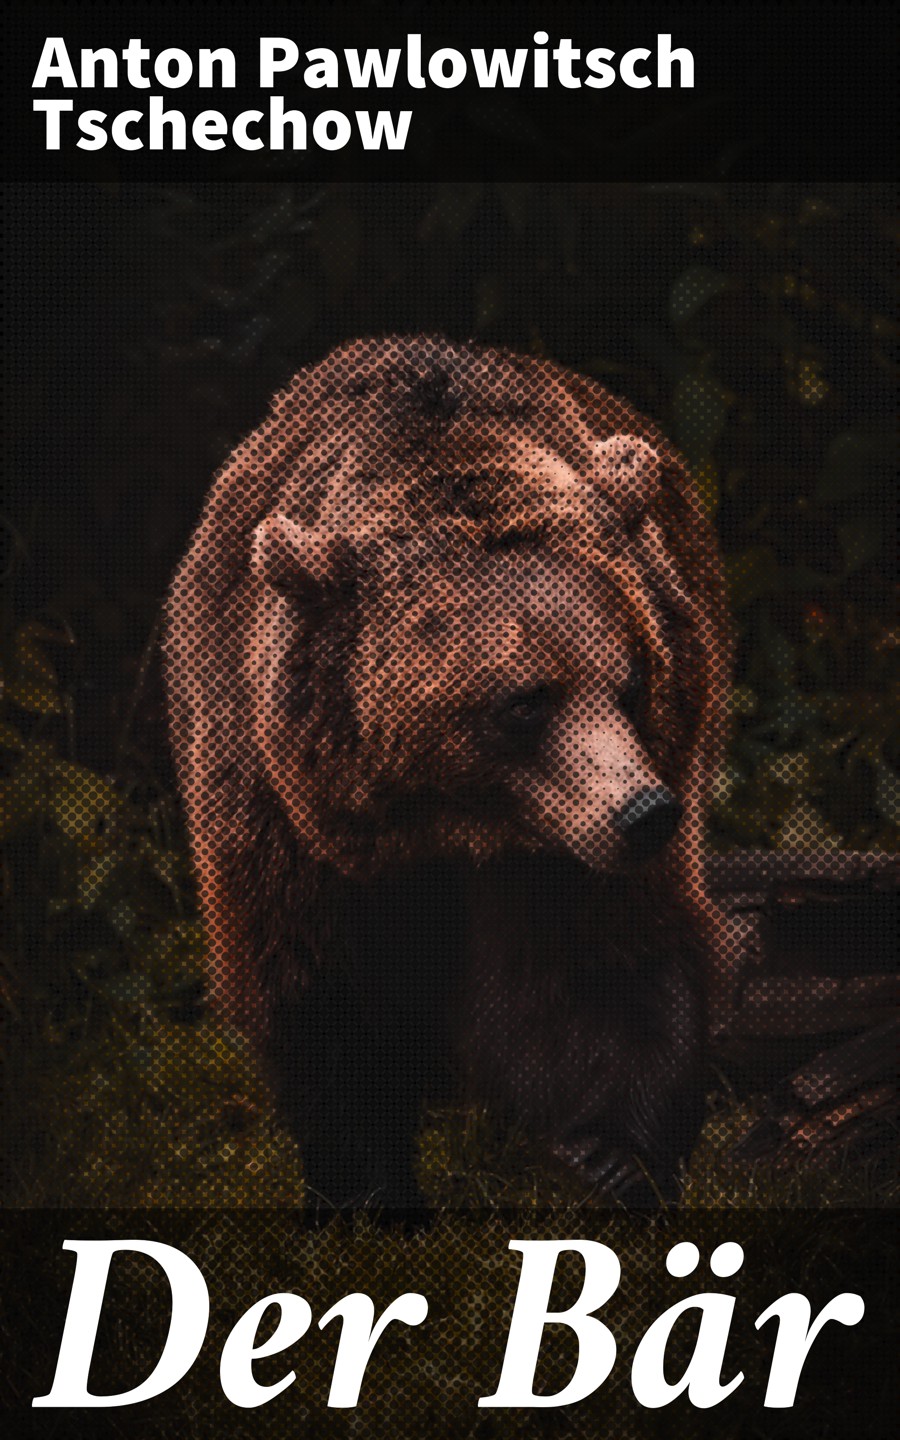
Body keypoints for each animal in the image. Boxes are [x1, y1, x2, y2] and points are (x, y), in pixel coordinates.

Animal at [163, 335, 731, 1214]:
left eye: (632, 678)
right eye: (526, 702)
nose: (644, 812)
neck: (448, 823)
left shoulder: (576, 835)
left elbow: (610, 955)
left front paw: (611, 1156)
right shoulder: (284, 817)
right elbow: (321, 995)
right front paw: (364, 1190)